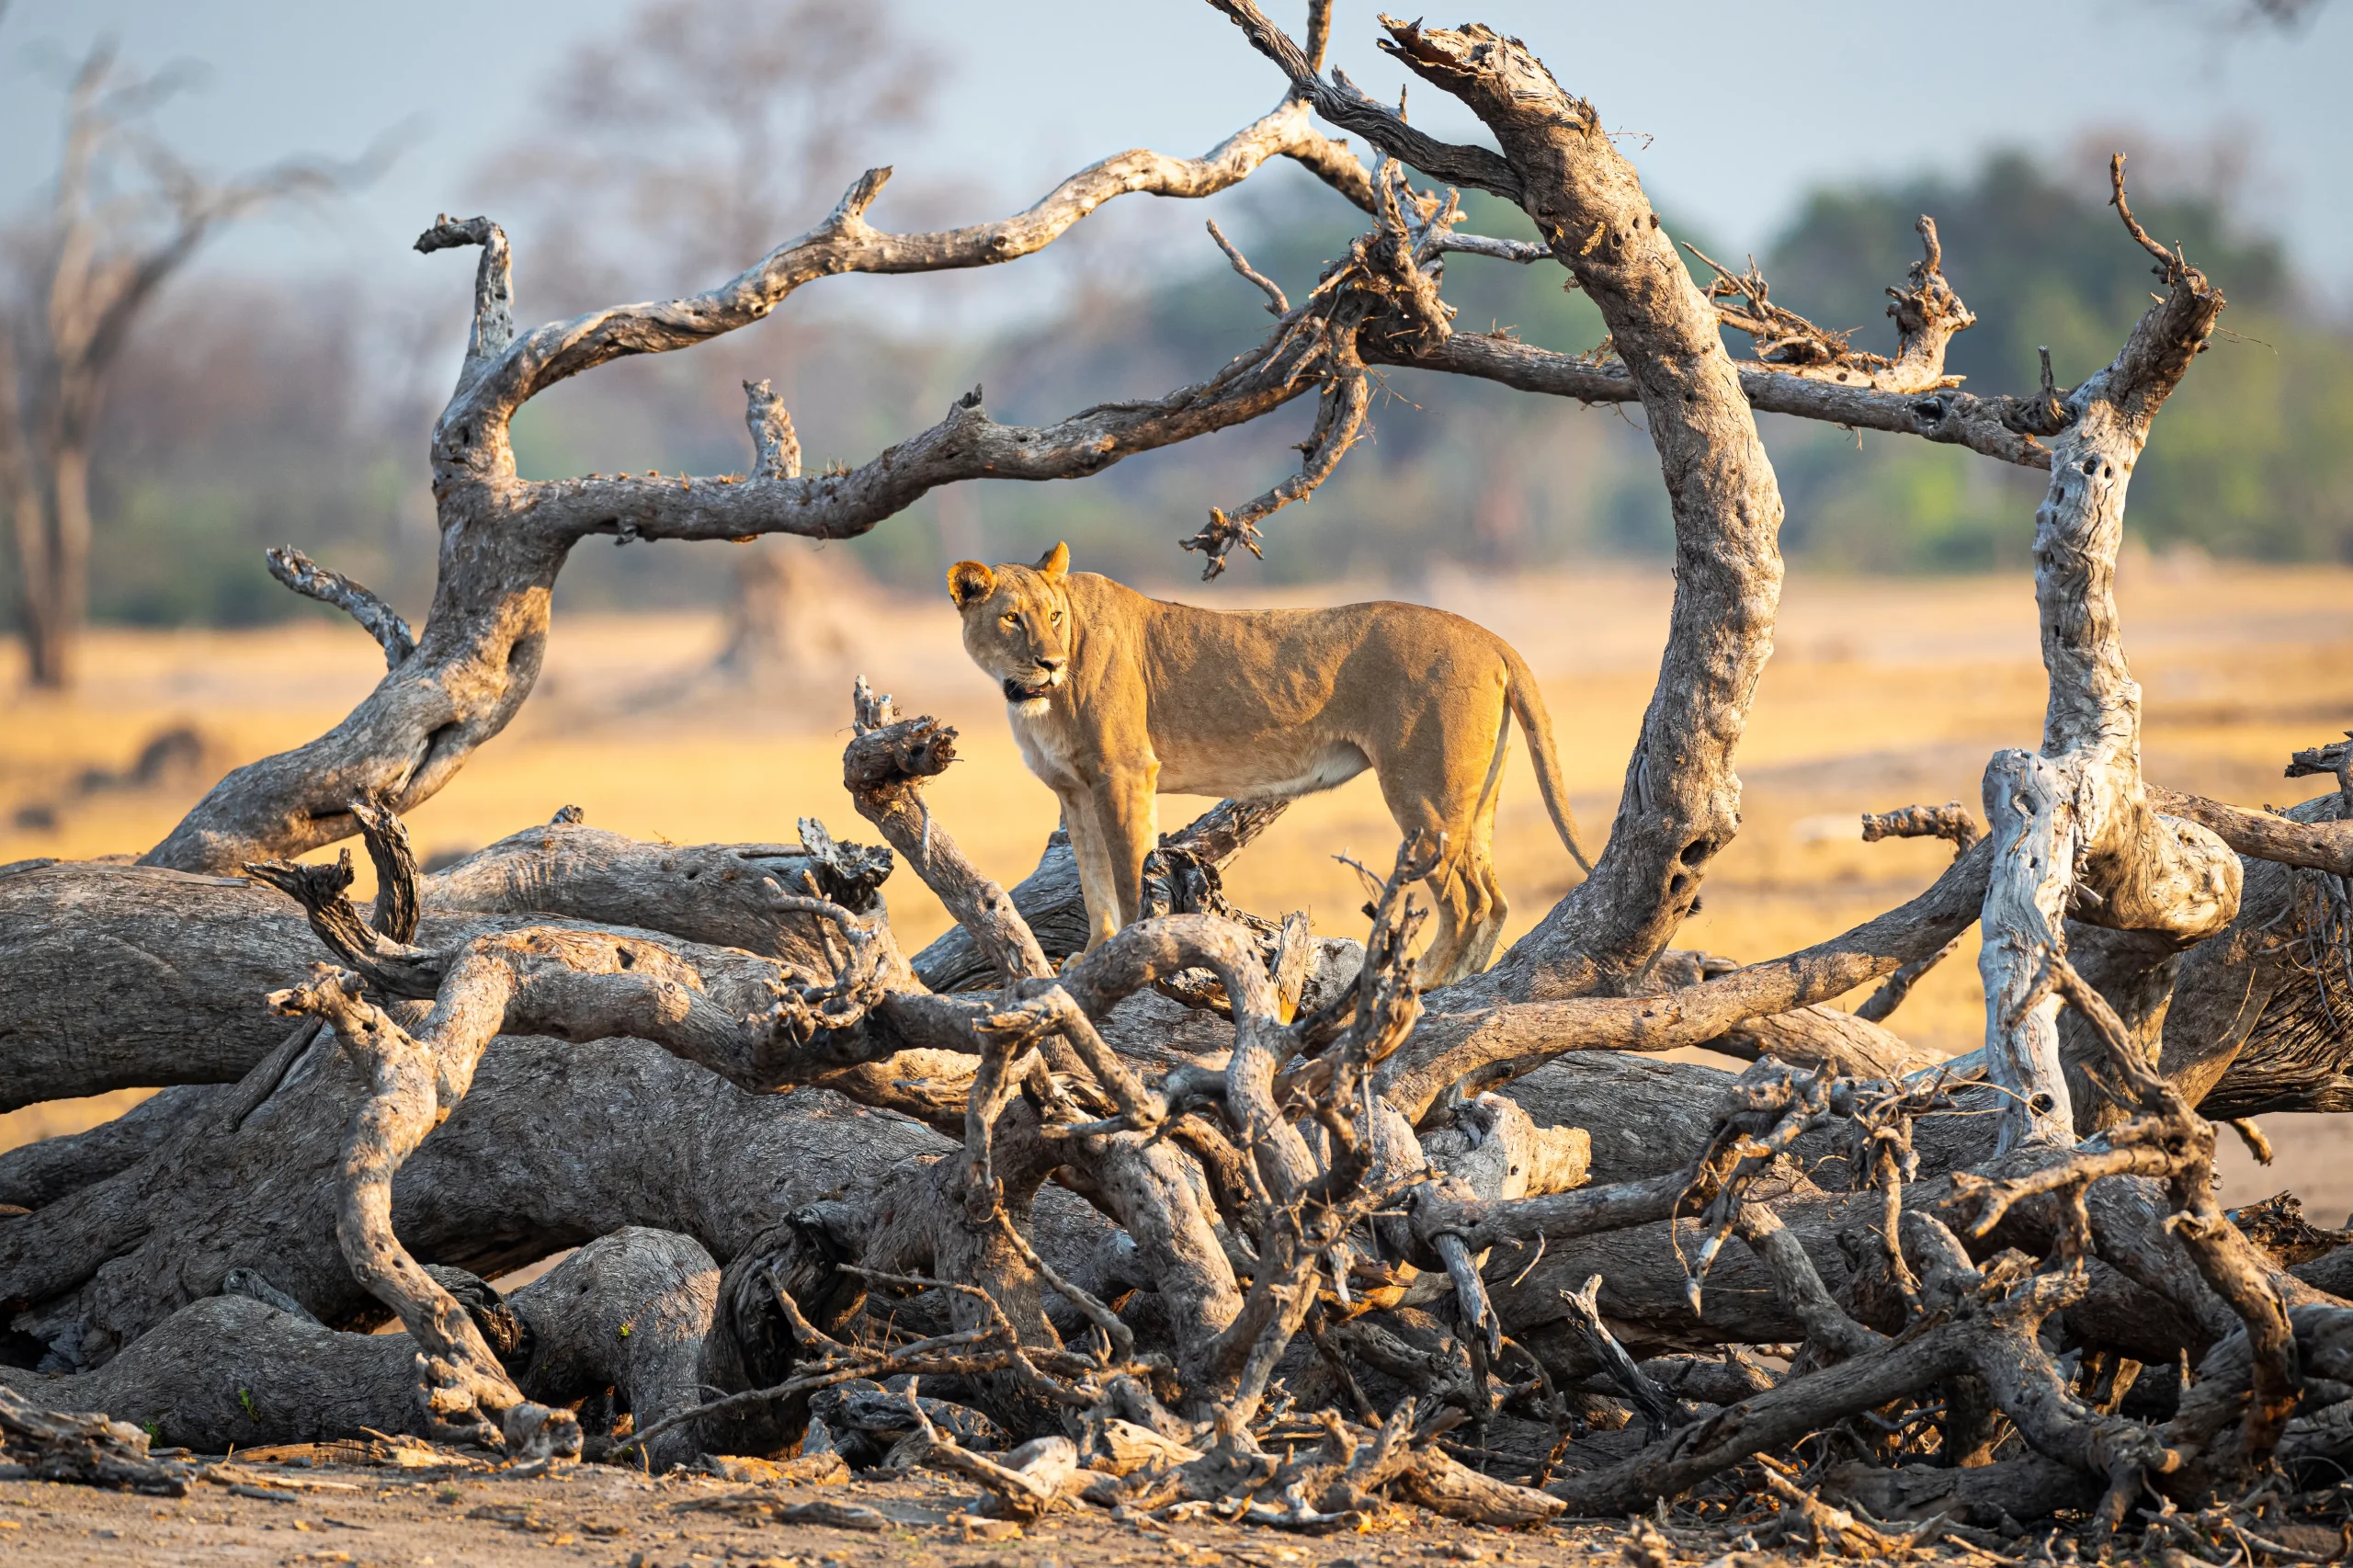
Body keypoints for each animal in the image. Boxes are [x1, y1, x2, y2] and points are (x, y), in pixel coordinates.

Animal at [948, 542, 1594, 986]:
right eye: (1012, 617)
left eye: (1053, 616)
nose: (1051, 662)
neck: (1031, 698)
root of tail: (1490, 637)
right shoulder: (1075, 790)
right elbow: (1092, 879)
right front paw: (1091, 954)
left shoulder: (1125, 772)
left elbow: (1129, 874)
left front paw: (1132, 953)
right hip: (1474, 798)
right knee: (1495, 896)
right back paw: (1459, 984)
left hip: (1423, 795)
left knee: (1467, 901)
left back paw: (1425, 981)